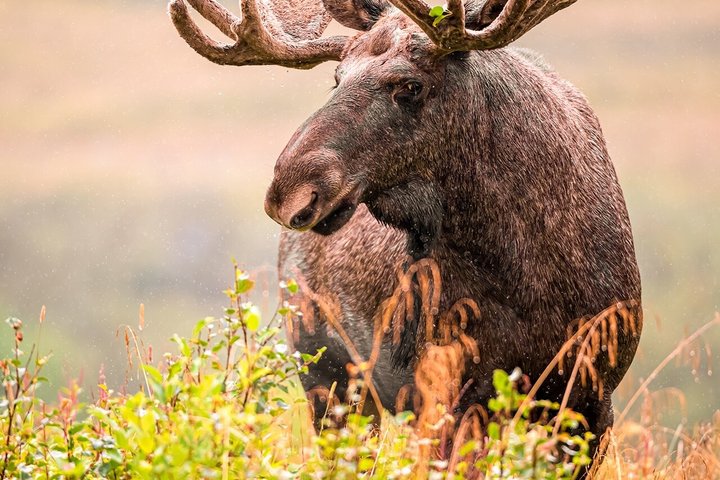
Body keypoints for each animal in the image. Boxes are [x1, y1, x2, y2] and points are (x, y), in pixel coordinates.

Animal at [169, 0, 643, 468]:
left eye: (411, 86)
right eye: (337, 76)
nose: (287, 191)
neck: (528, 269)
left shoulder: (590, 400)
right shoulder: (450, 395)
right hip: (328, 374)